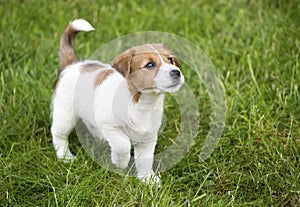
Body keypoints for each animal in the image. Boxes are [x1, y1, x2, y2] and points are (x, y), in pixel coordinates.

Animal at [50, 19, 184, 184]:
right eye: (149, 64)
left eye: (170, 59)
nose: (176, 72)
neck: (141, 103)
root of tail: (73, 64)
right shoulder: (110, 125)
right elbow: (123, 144)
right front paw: (120, 163)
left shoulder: (148, 137)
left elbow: (146, 159)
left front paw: (148, 179)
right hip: (65, 114)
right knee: (58, 134)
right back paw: (65, 156)